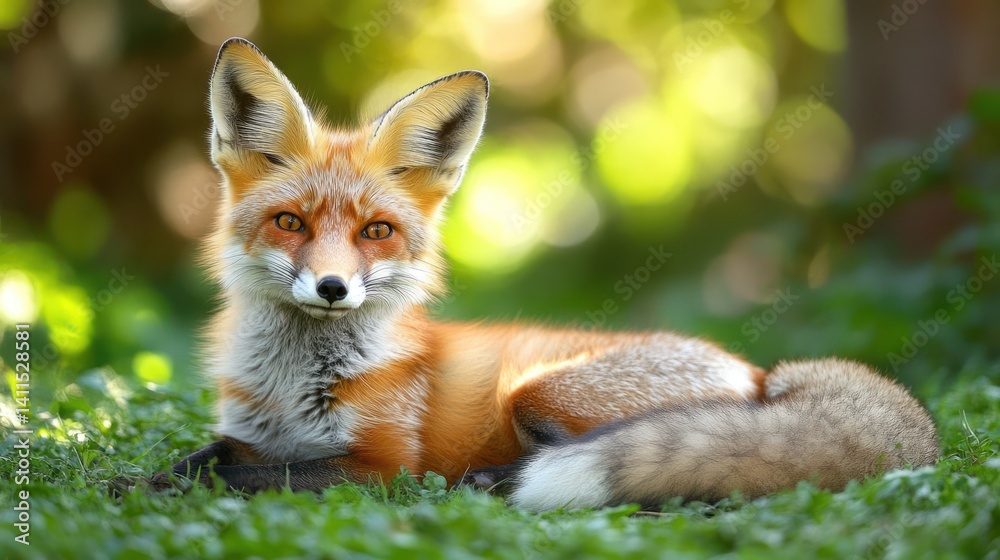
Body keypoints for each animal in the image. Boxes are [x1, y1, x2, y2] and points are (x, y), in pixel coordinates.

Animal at [147, 37, 939, 512]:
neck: (294, 388)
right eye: (291, 223)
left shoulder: (380, 466)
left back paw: (487, 483)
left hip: (540, 391)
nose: (333, 289)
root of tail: (763, 375)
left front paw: (137, 487)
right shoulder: (250, 435)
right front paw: (147, 479)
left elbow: (243, 478)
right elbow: (208, 460)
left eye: (376, 232)